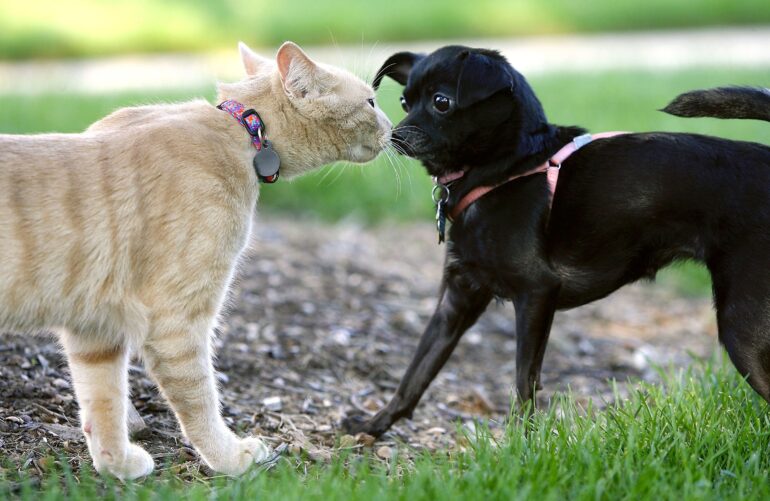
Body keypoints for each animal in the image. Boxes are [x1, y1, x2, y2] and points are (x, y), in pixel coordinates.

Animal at [0, 42, 392, 476]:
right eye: (371, 102)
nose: (393, 125)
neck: (244, 131)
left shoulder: (95, 325)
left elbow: (103, 400)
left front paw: (116, 465)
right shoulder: (176, 320)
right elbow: (200, 398)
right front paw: (230, 457)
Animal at [340, 47, 768, 438]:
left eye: (441, 102)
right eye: (404, 102)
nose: (394, 136)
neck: (504, 171)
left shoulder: (536, 294)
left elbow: (523, 380)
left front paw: (519, 445)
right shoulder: (456, 301)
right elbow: (417, 372)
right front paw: (375, 425)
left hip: (741, 327)